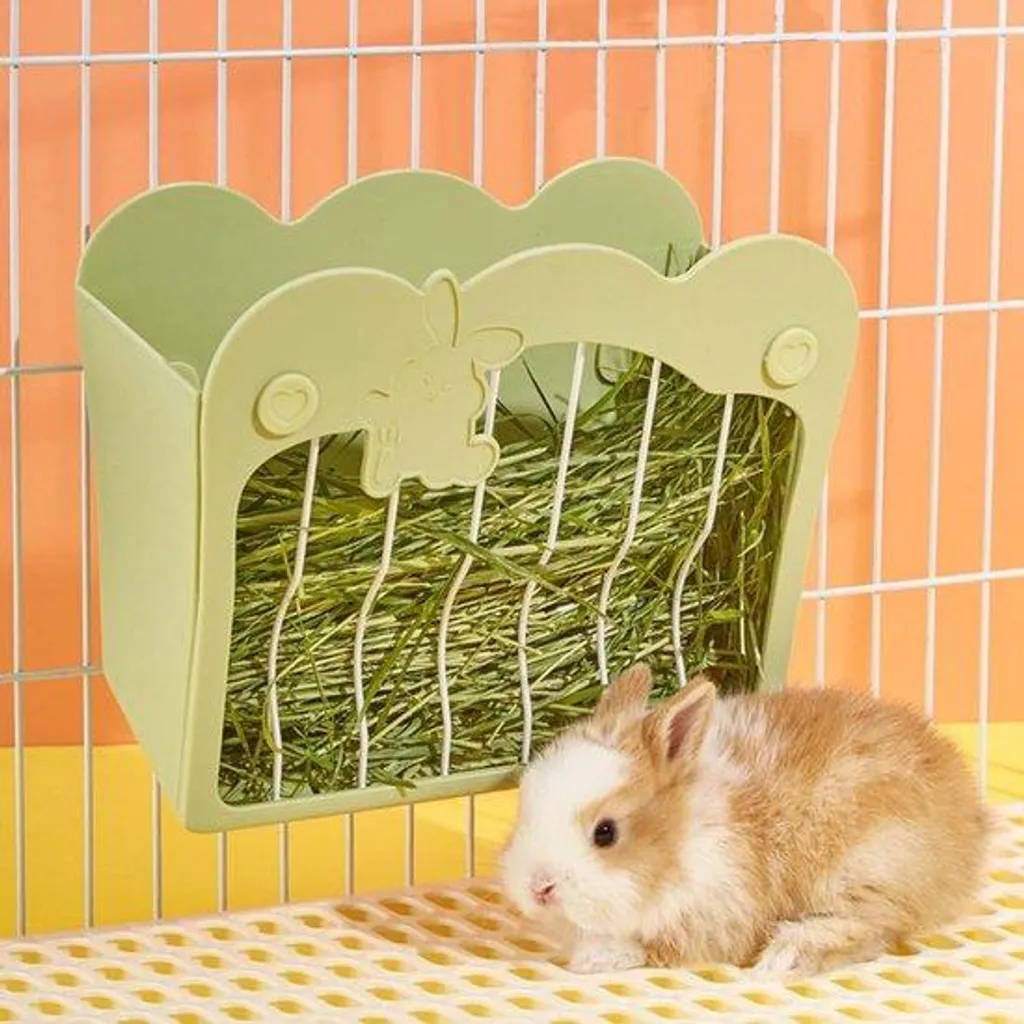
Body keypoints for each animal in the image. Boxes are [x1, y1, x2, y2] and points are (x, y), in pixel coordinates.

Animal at [499, 662, 991, 976]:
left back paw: (787, 956)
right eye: (524, 808)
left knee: (872, 928)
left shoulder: (720, 911)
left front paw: (597, 958)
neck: (685, 838)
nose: (538, 888)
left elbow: (659, 947)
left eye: (606, 832)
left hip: (861, 872)